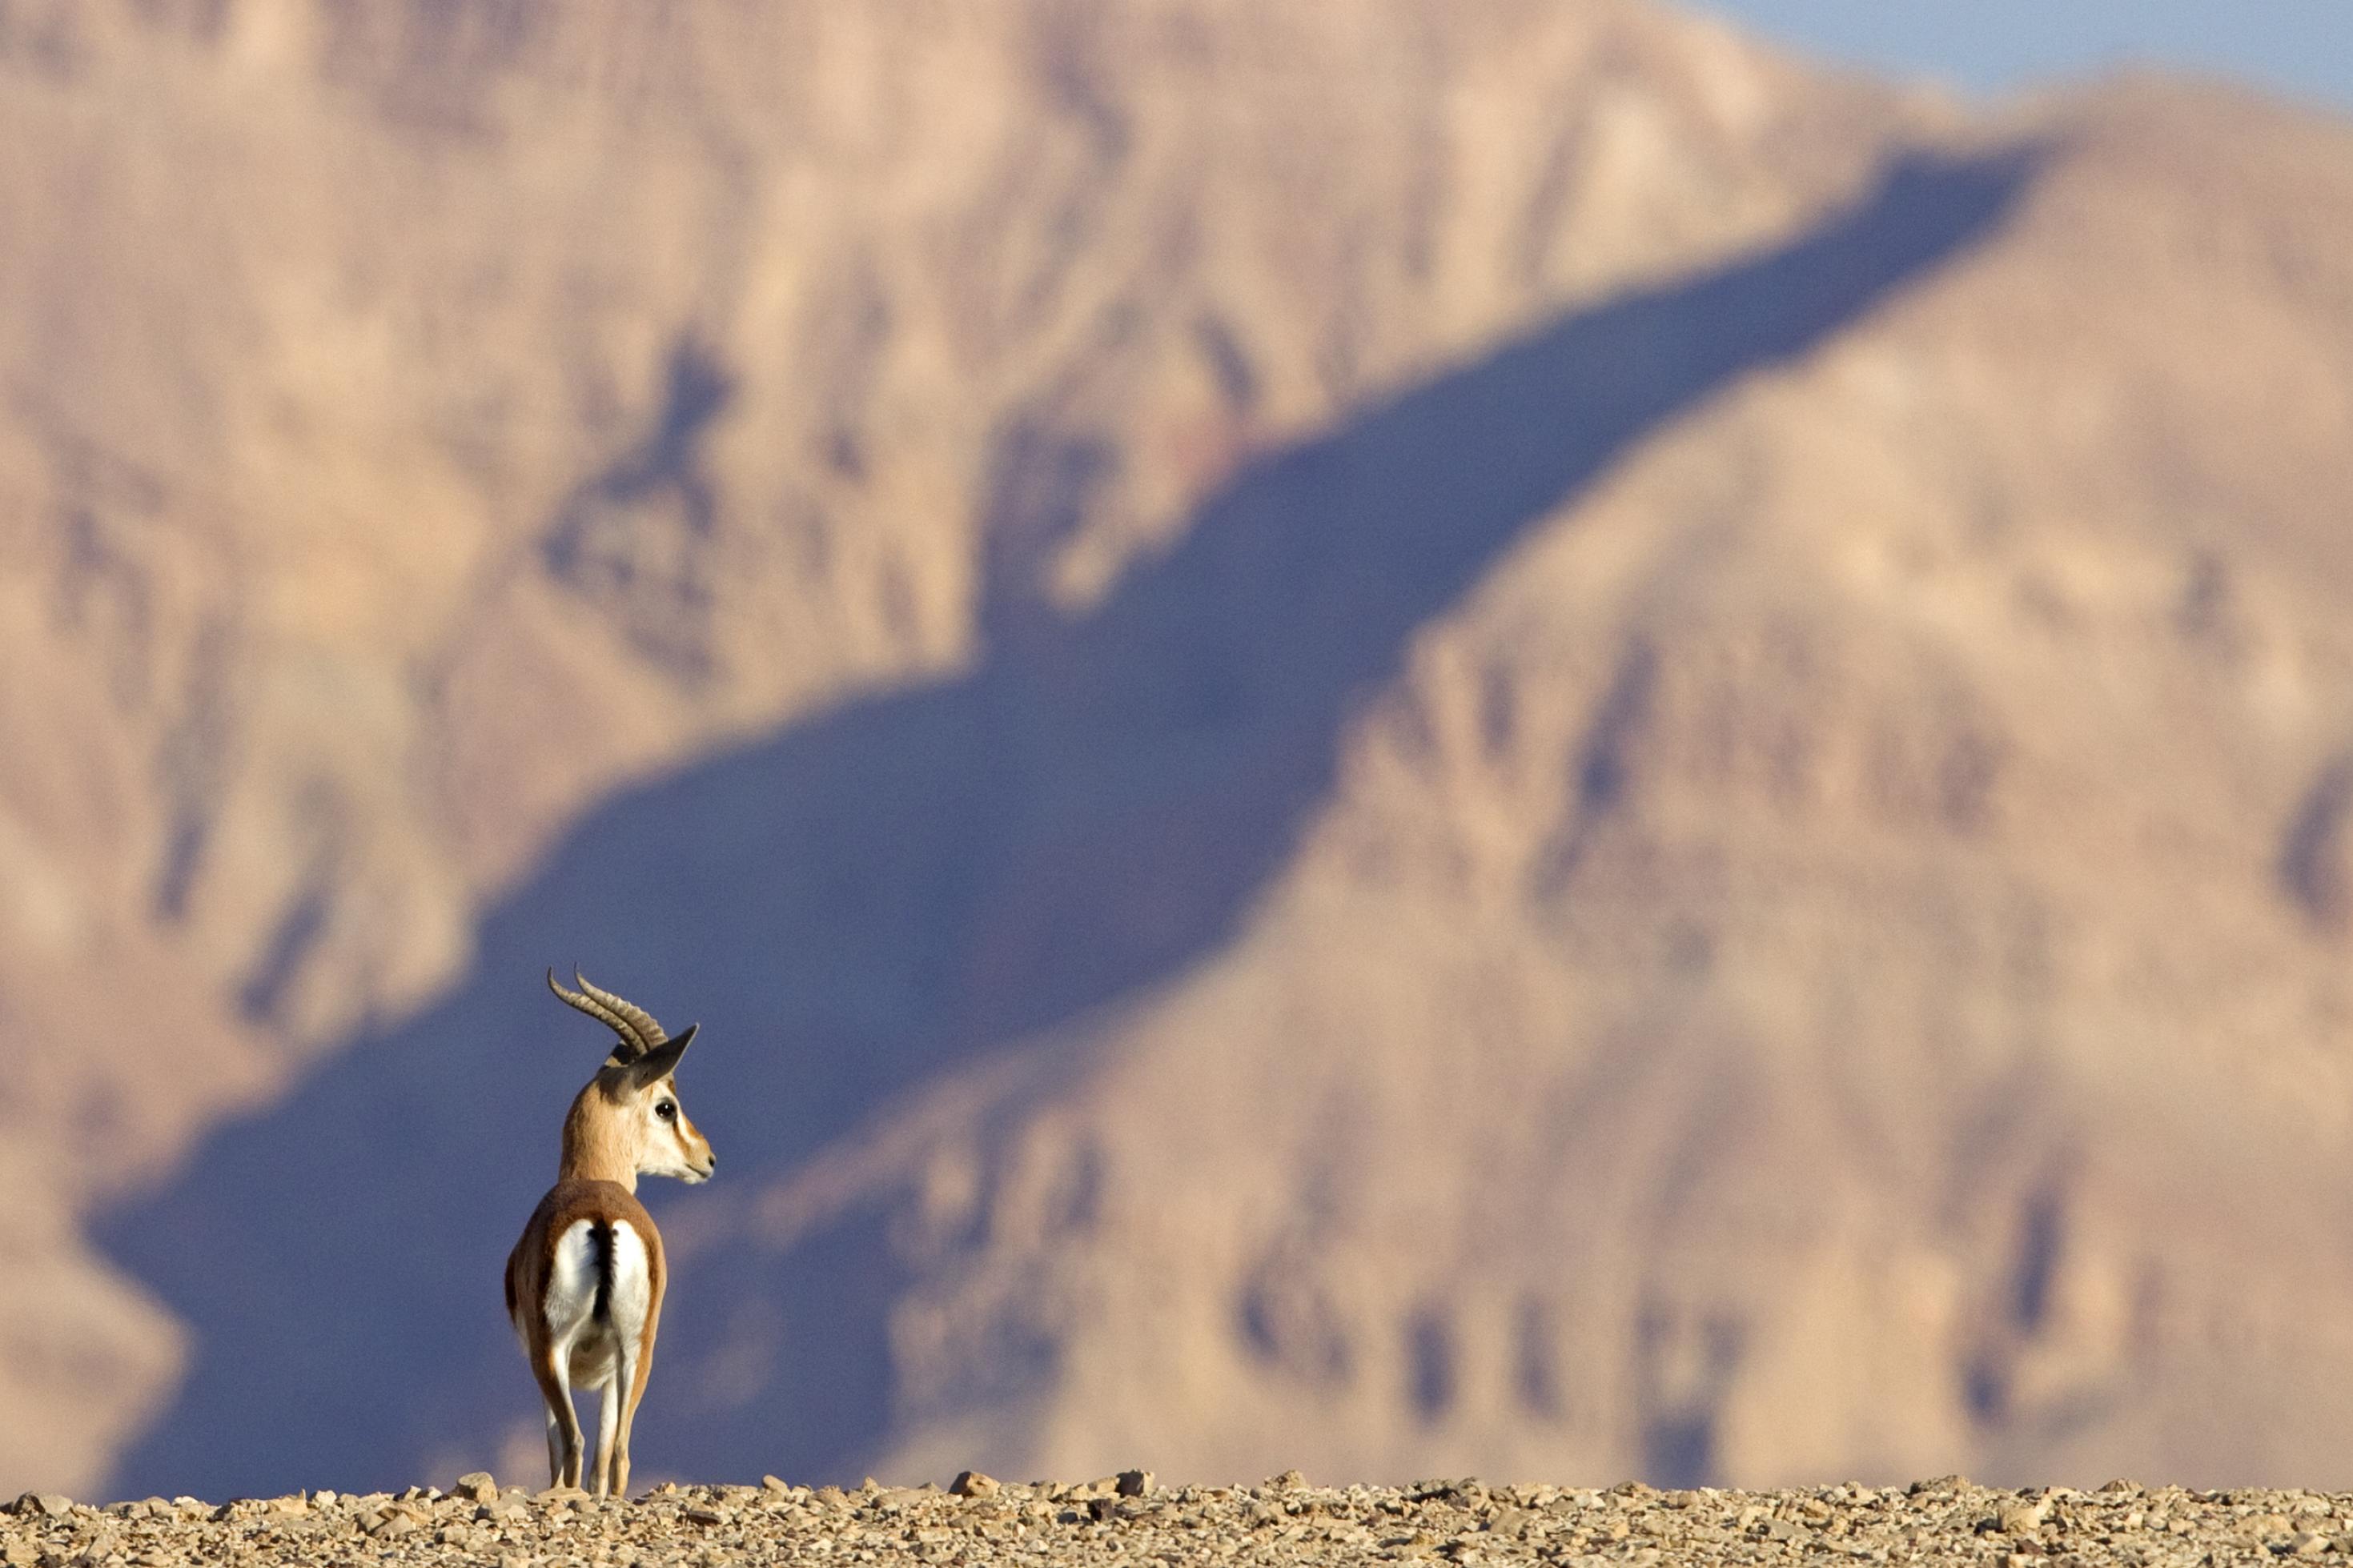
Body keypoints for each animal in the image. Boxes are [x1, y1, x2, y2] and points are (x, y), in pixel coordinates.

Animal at [505, 970, 716, 1497]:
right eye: (666, 1107)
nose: (707, 1159)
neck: (592, 1177)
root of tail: (601, 1217)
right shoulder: (607, 1370)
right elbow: (604, 1452)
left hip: (555, 1353)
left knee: (574, 1445)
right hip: (636, 1351)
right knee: (616, 1452)